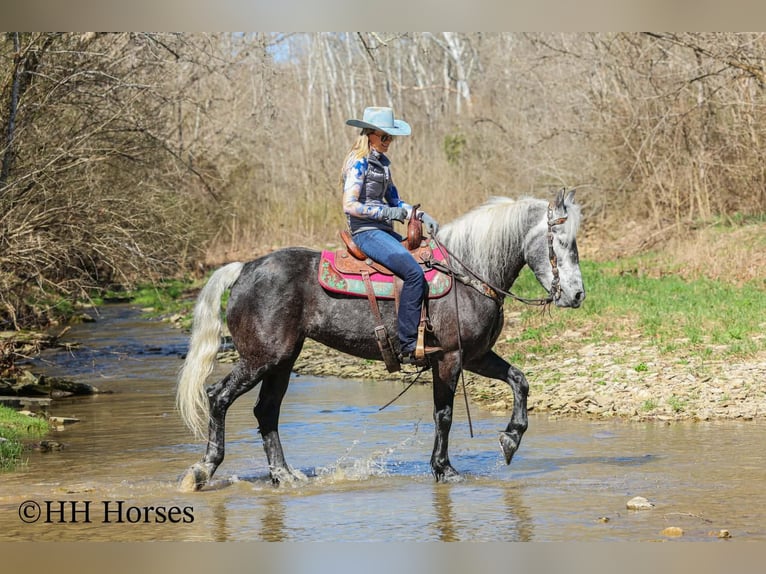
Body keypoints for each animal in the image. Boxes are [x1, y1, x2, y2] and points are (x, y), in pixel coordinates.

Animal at [176, 189, 585, 491]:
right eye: (563, 242)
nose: (577, 295)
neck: (467, 272)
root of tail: (245, 269)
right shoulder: (450, 358)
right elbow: (444, 414)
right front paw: (444, 469)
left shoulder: (476, 356)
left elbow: (519, 380)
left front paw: (511, 440)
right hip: (261, 358)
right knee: (218, 396)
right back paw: (202, 471)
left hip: (283, 360)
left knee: (266, 412)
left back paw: (284, 475)